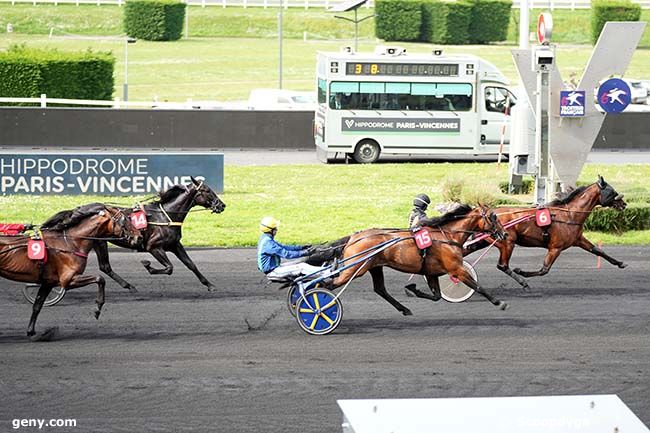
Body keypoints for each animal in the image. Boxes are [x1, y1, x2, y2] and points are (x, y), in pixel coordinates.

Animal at [0, 202, 139, 334]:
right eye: (124, 219)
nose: (138, 237)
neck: (69, 243)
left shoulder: (48, 282)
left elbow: (37, 305)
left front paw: (31, 331)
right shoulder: (68, 280)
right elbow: (100, 279)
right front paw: (97, 309)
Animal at [93, 177, 225, 292]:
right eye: (207, 190)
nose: (222, 205)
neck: (165, 216)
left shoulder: (174, 244)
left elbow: (191, 264)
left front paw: (210, 285)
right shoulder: (153, 246)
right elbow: (169, 268)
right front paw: (148, 265)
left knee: (105, 267)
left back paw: (129, 286)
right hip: (100, 241)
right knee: (105, 266)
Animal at [324, 204, 506, 316]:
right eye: (494, 217)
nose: (504, 234)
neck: (447, 236)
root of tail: (353, 238)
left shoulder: (432, 273)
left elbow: (436, 296)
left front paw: (412, 289)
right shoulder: (457, 269)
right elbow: (478, 286)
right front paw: (499, 302)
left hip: (374, 266)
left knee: (380, 289)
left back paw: (404, 309)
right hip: (355, 269)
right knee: (328, 285)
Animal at [464, 174, 624, 288]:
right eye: (612, 191)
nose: (624, 204)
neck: (570, 214)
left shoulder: (578, 240)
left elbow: (598, 250)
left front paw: (620, 263)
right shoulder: (555, 247)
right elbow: (544, 269)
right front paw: (521, 272)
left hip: (486, 241)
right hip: (507, 241)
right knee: (502, 265)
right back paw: (522, 282)